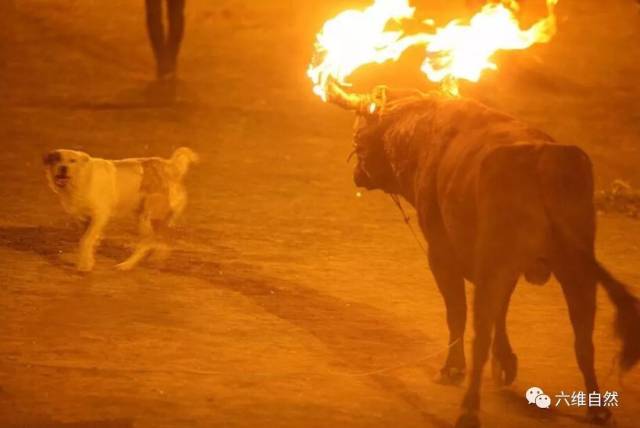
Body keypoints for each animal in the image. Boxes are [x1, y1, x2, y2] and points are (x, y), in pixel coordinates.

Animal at [42, 147, 198, 270]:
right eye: (57, 159)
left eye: (72, 161)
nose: (63, 168)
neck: (82, 178)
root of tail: (171, 167)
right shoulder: (83, 219)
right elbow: (86, 240)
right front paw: (89, 259)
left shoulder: (100, 215)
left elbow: (85, 240)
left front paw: (84, 265)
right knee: (158, 239)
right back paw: (155, 257)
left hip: (147, 217)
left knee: (148, 241)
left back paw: (126, 265)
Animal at [350, 89, 640, 424]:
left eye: (362, 134)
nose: (356, 173)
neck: (424, 136)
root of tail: (540, 160)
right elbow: (501, 310)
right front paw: (504, 364)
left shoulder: (442, 253)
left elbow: (458, 312)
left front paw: (454, 368)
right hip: (576, 271)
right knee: (583, 340)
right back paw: (598, 409)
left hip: (500, 263)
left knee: (481, 333)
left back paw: (469, 409)